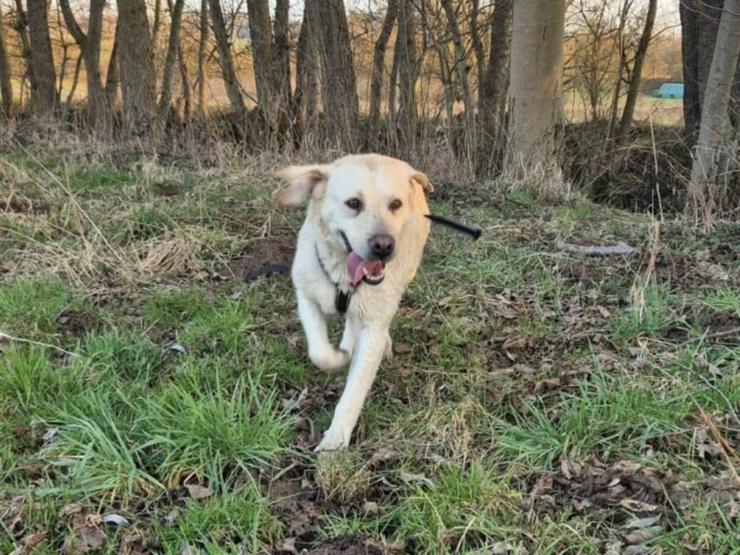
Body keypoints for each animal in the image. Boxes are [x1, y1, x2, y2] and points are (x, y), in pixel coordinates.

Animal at [274, 154, 430, 450]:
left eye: (396, 204)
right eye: (353, 203)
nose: (384, 246)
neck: (344, 277)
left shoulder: (373, 330)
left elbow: (354, 391)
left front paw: (334, 442)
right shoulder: (306, 296)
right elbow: (320, 353)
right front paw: (339, 357)